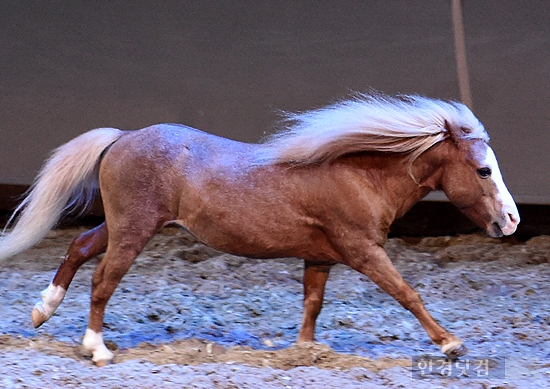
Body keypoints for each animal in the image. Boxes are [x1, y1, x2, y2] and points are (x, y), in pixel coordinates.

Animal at [0, 93, 520, 364]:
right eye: (483, 171)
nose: (512, 219)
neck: (360, 175)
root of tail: (122, 138)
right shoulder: (363, 251)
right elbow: (407, 292)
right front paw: (450, 343)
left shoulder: (321, 255)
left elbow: (313, 302)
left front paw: (306, 349)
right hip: (134, 230)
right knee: (103, 279)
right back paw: (96, 348)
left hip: (122, 224)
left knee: (80, 246)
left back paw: (42, 311)